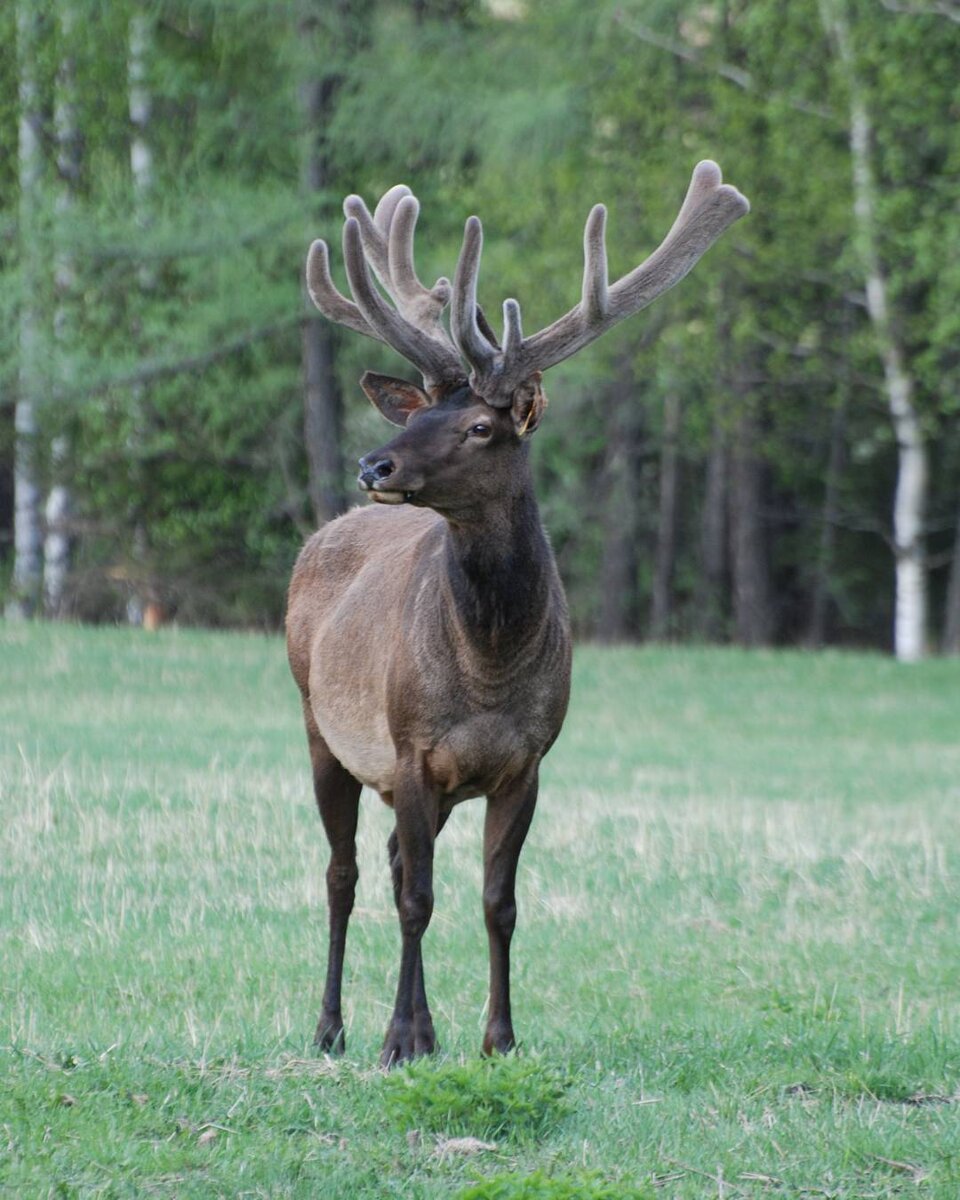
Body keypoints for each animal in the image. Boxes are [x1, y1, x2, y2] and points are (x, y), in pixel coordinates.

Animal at [285, 162, 748, 1070]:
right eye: (418, 413)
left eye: (477, 425)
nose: (373, 463)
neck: (489, 667)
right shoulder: (412, 748)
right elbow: (419, 899)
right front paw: (402, 1038)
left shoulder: (528, 761)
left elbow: (498, 900)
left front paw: (496, 1036)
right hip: (323, 728)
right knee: (343, 875)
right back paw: (331, 1027)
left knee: (387, 862)